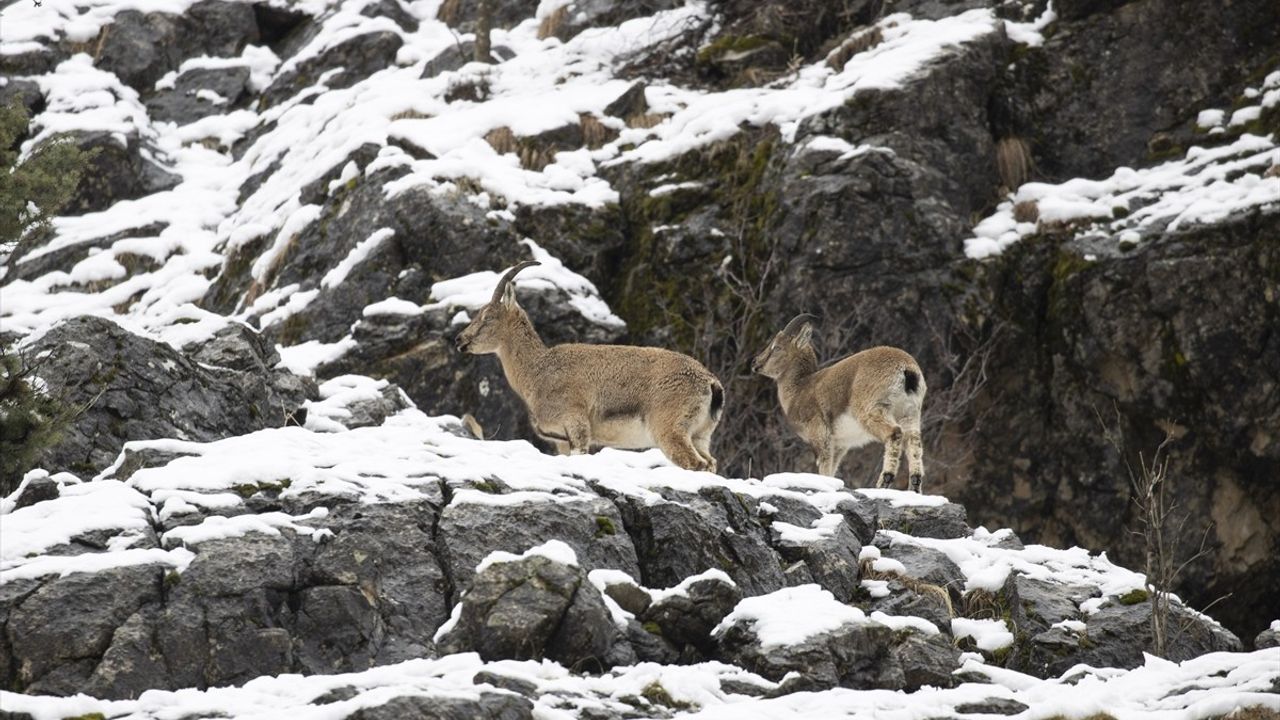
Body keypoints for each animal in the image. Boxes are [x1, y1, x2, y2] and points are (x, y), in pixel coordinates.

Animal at [455, 260, 727, 474]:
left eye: (487, 317)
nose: (459, 340)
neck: (537, 370)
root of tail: (710, 382)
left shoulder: (576, 425)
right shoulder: (560, 440)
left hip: (670, 429)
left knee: (695, 463)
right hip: (701, 435)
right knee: (710, 462)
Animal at [747, 315, 931, 491]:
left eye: (776, 347)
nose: (755, 362)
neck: (800, 389)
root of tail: (907, 370)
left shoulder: (821, 436)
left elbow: (825, 468)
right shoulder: (841, 445)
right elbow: (832, 470)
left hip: (872, 411)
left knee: (895, 433)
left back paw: (883, 483)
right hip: (910, 414)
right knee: (914, 442)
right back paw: (914, 487)